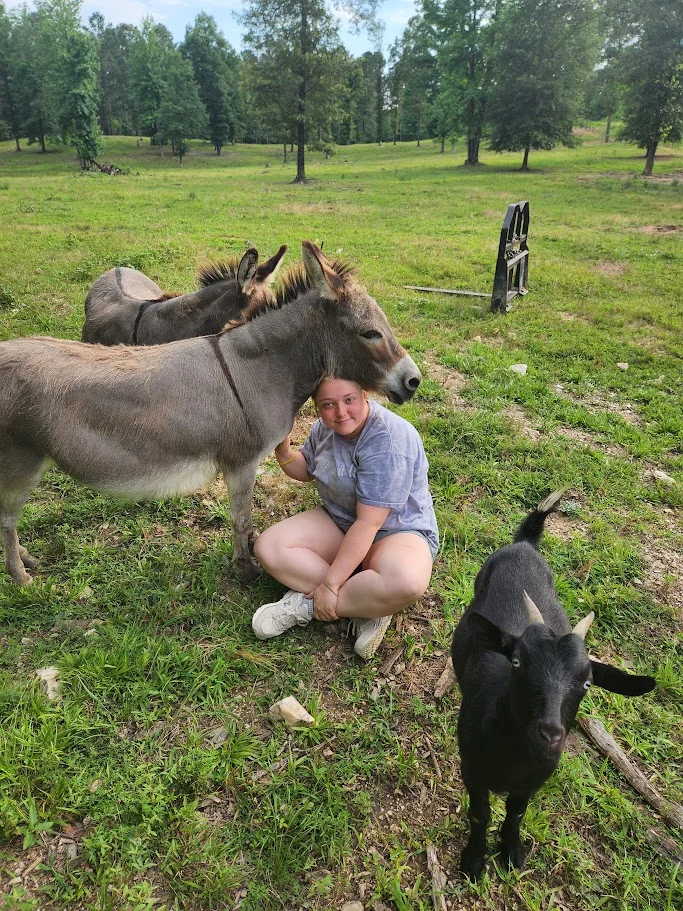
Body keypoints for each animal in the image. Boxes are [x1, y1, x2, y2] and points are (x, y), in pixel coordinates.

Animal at [451, 490, 656, 879]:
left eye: (588, 683)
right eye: (517, 662)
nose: (550, 735)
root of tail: (524, 544)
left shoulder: (533, 782)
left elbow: (516, 813)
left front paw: (512, 853)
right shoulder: (472, 770)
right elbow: (479, 814)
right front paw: (474, 861)